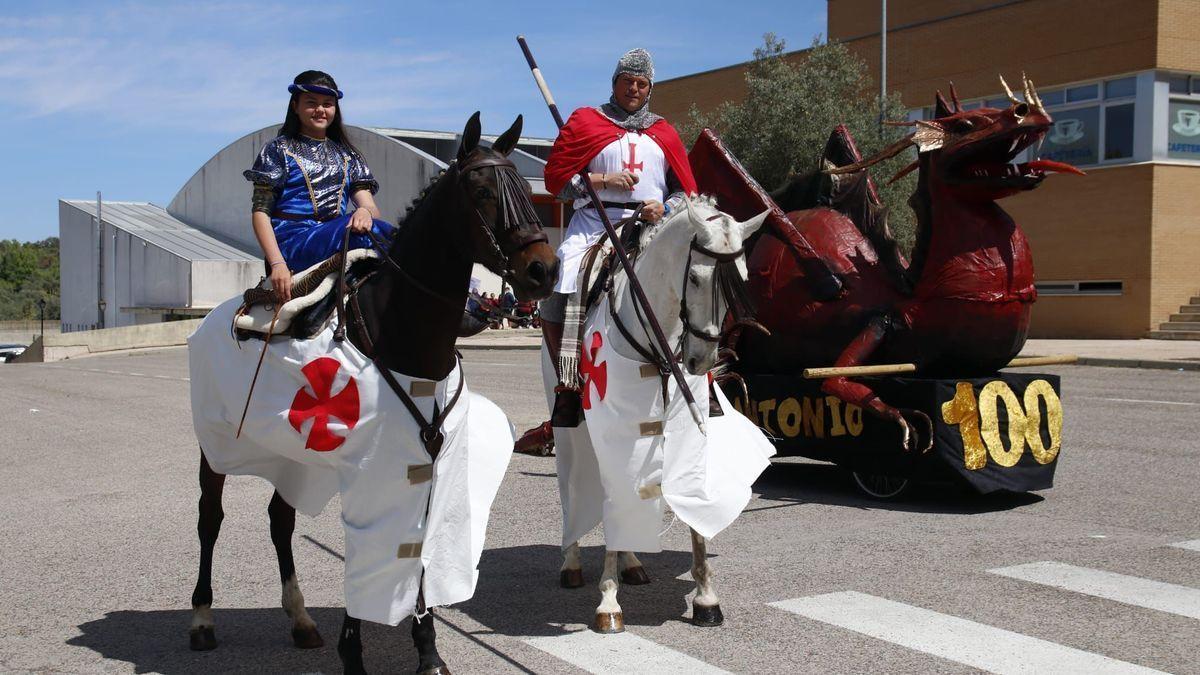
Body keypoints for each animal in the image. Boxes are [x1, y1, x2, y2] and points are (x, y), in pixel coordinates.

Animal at [190, 112, 556, 667]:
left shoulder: (425, 459)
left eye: (524, 188)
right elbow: (370, 549)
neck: (399, 329)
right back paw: (203, 619)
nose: (543, 269)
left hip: (289, 451)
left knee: (280, 519)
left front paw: (427, 650)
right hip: (216, 445)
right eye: (481, 190)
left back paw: (299, 619)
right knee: (210, 518)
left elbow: (418, 545)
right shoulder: (370, 465)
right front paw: (354, 651)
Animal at [547, 193, 772, 629]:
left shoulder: (685, 429)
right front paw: (608, 601)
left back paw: (633, 562)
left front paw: (705, 597)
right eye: (697, 279)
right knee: (573, 486)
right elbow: (614, 495)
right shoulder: (617, 428)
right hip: (571, 431)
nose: (701, 361)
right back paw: (571, 563)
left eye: (741, 278)